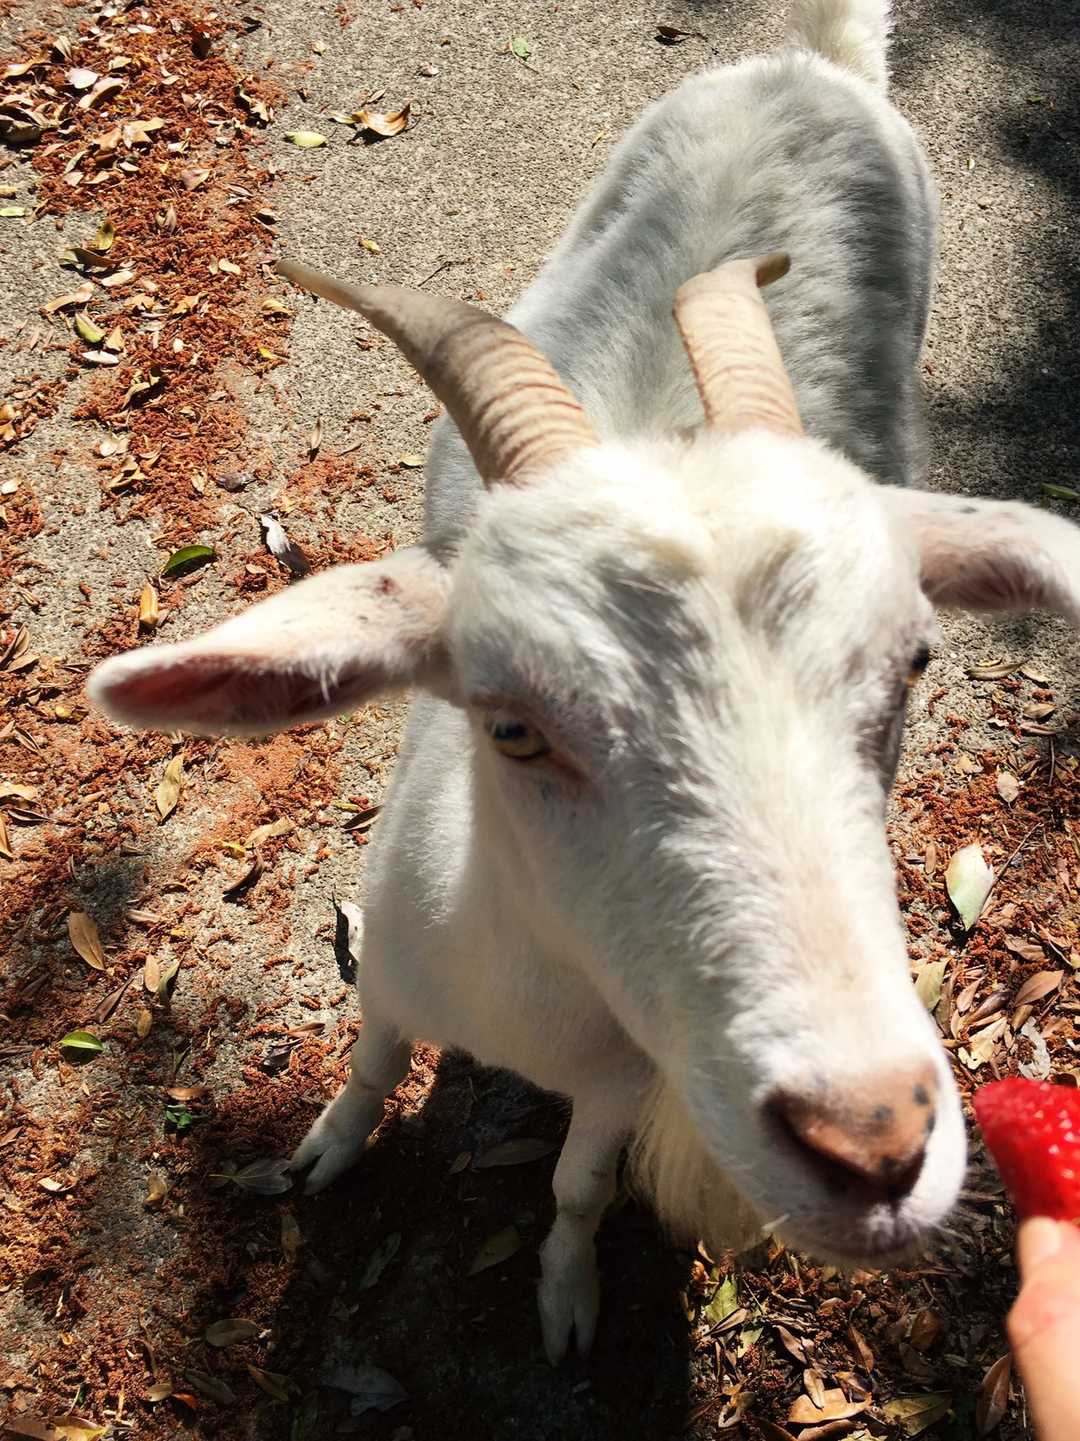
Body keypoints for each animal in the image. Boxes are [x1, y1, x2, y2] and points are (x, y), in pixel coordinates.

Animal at [88, 0, 1080, 1364]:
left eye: (912, 665)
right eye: (511, 725)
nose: (874, 1143)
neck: (532, 1003)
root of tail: (816, 66)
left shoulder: (623, 1081)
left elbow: (574, 1186)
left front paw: (564, 1305)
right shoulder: (393, 966)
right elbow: (367, 1066)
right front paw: (315, 1158)